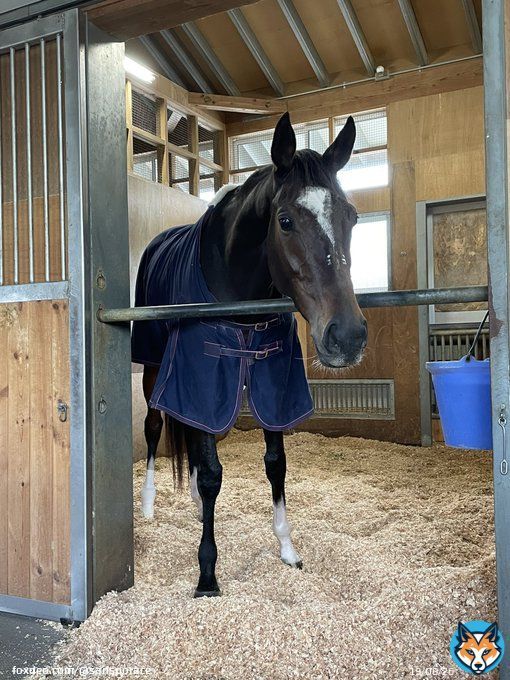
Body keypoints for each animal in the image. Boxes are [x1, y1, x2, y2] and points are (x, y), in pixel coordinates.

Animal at [131, 112, 367, 597]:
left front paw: (288, 550)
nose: (348, 336)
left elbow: (275, 465)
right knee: (153, 426)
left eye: (351, 216)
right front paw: (207, 576)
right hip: (152, 365)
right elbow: (211, 474)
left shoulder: (273, 381)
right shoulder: (203, 372)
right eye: (285, 220)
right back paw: (147, 506)